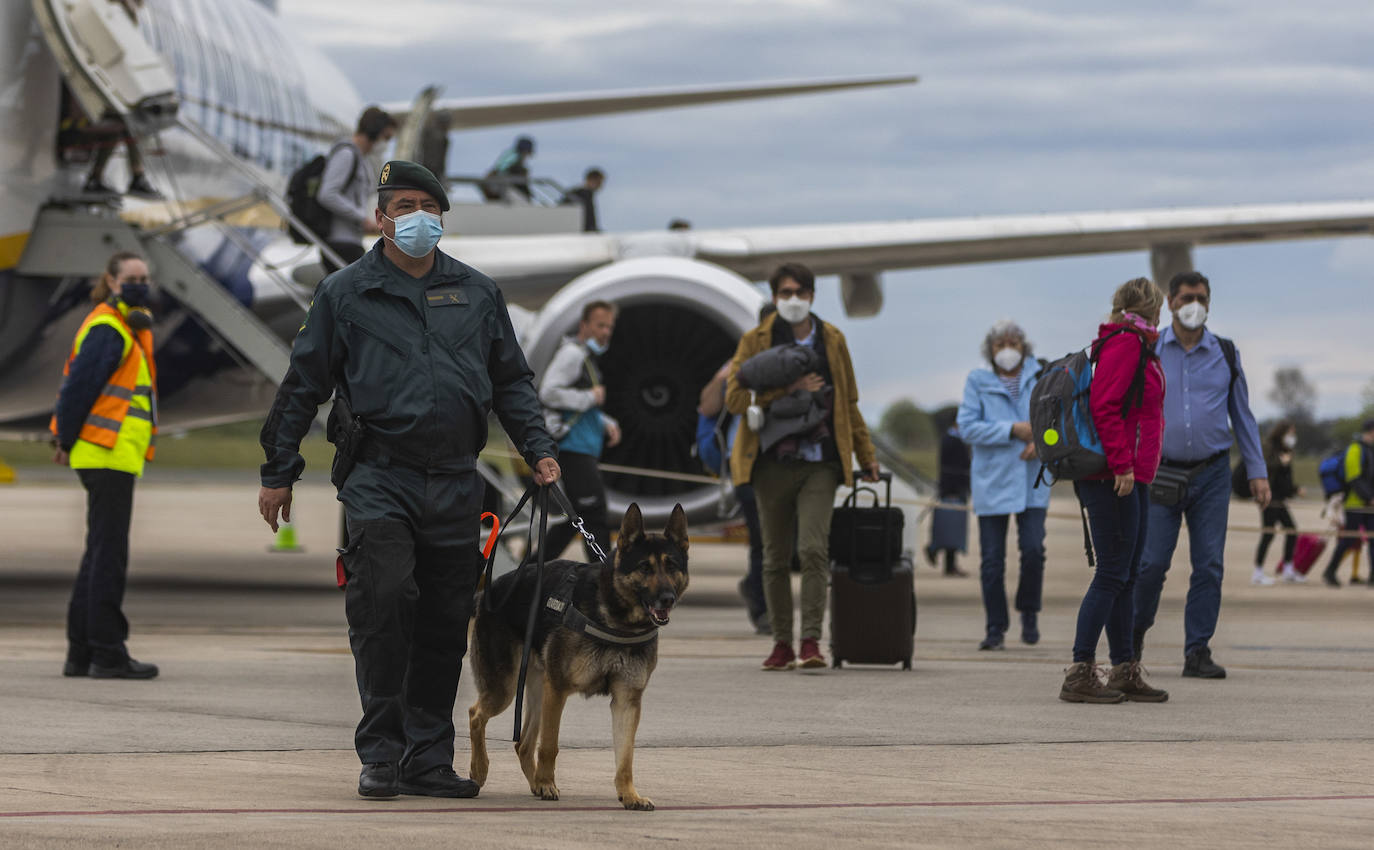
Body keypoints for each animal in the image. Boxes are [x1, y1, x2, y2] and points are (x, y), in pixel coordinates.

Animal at [469, 505, 687, 812]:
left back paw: (533, 782)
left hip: (537, 689)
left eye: (672, 567)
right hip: (508, 689)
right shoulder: (558, 690)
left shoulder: (626, 701)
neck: (616, 618)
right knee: (476, 715)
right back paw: (481, 770)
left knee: (523, 744)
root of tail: (490, 589)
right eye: (645, 567)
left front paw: (629, 794)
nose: (667, 598)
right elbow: (550, 745)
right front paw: (547, 783)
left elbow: (626, 757)